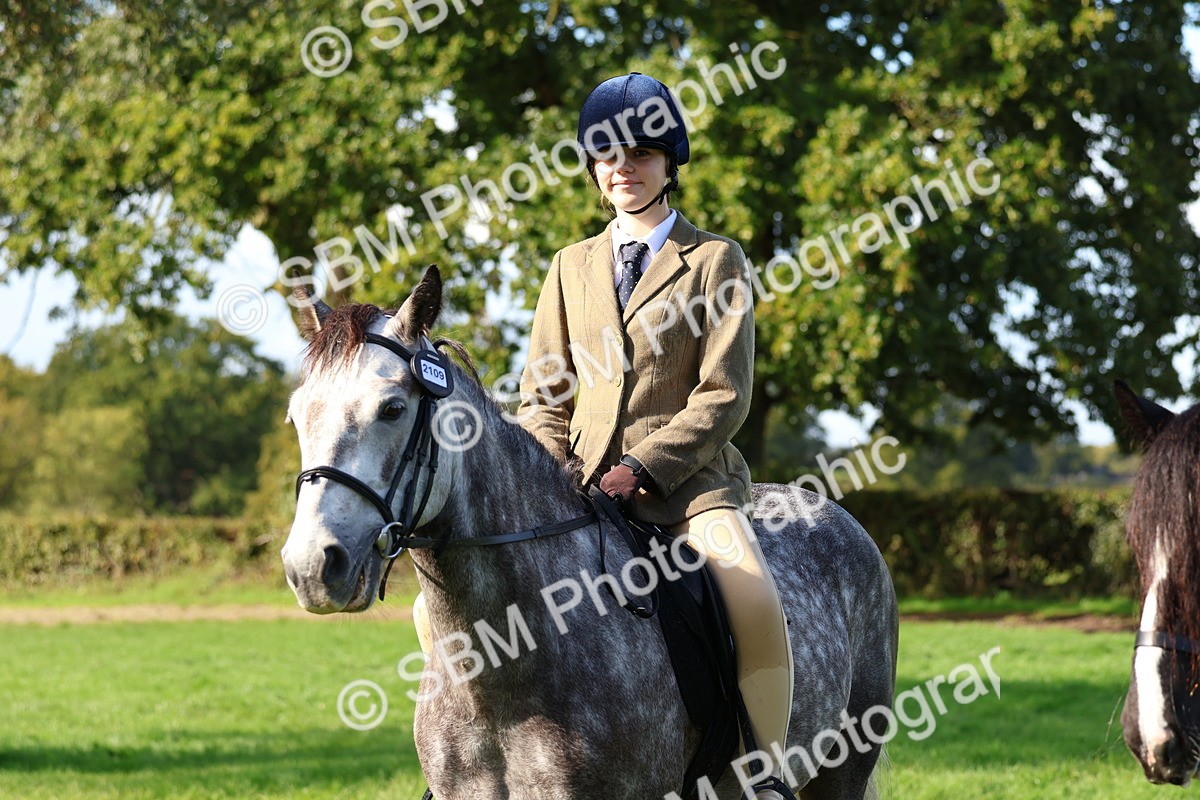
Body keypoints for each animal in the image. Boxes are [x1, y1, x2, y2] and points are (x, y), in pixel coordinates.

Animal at [281, 267, 898, 800]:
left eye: (392, 408)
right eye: (297, 414)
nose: (312, 567)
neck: (507, 657)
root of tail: (831, 510)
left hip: (845, 762)